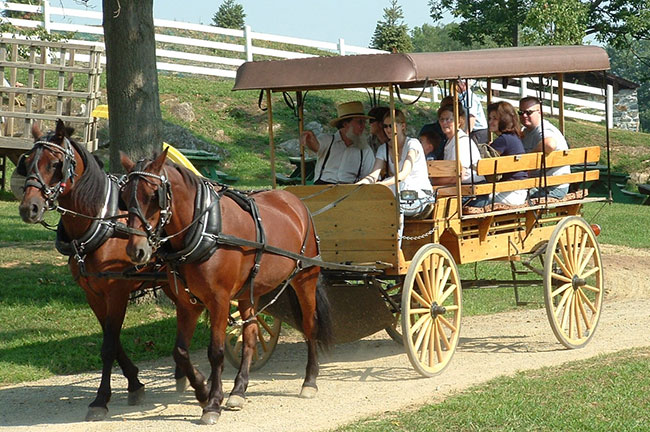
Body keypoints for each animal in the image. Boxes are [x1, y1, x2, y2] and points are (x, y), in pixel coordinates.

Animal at [16, 120, 189, 422]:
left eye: (55, 164)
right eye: (28, 162)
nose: (29, 208)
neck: (101, 220)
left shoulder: (117, 291)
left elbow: (108, 346)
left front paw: (100, 400)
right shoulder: (93, 293)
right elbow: (113, 339)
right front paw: (135, 382)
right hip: (171, 281)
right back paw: (181, 372)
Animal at [121, 149, 332, 426]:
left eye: (153, 195)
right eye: (124, 197)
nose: (136, 250)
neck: (205, 231)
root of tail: (293, 200)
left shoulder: (219, 300)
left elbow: (216, 352)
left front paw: (212, 403)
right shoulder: (187, 304)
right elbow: (180, 351)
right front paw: (202, 390)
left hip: (305, 279)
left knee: (310, 327)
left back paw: (309, 381)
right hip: (248, 293)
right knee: (251, 335)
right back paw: (239, 391)